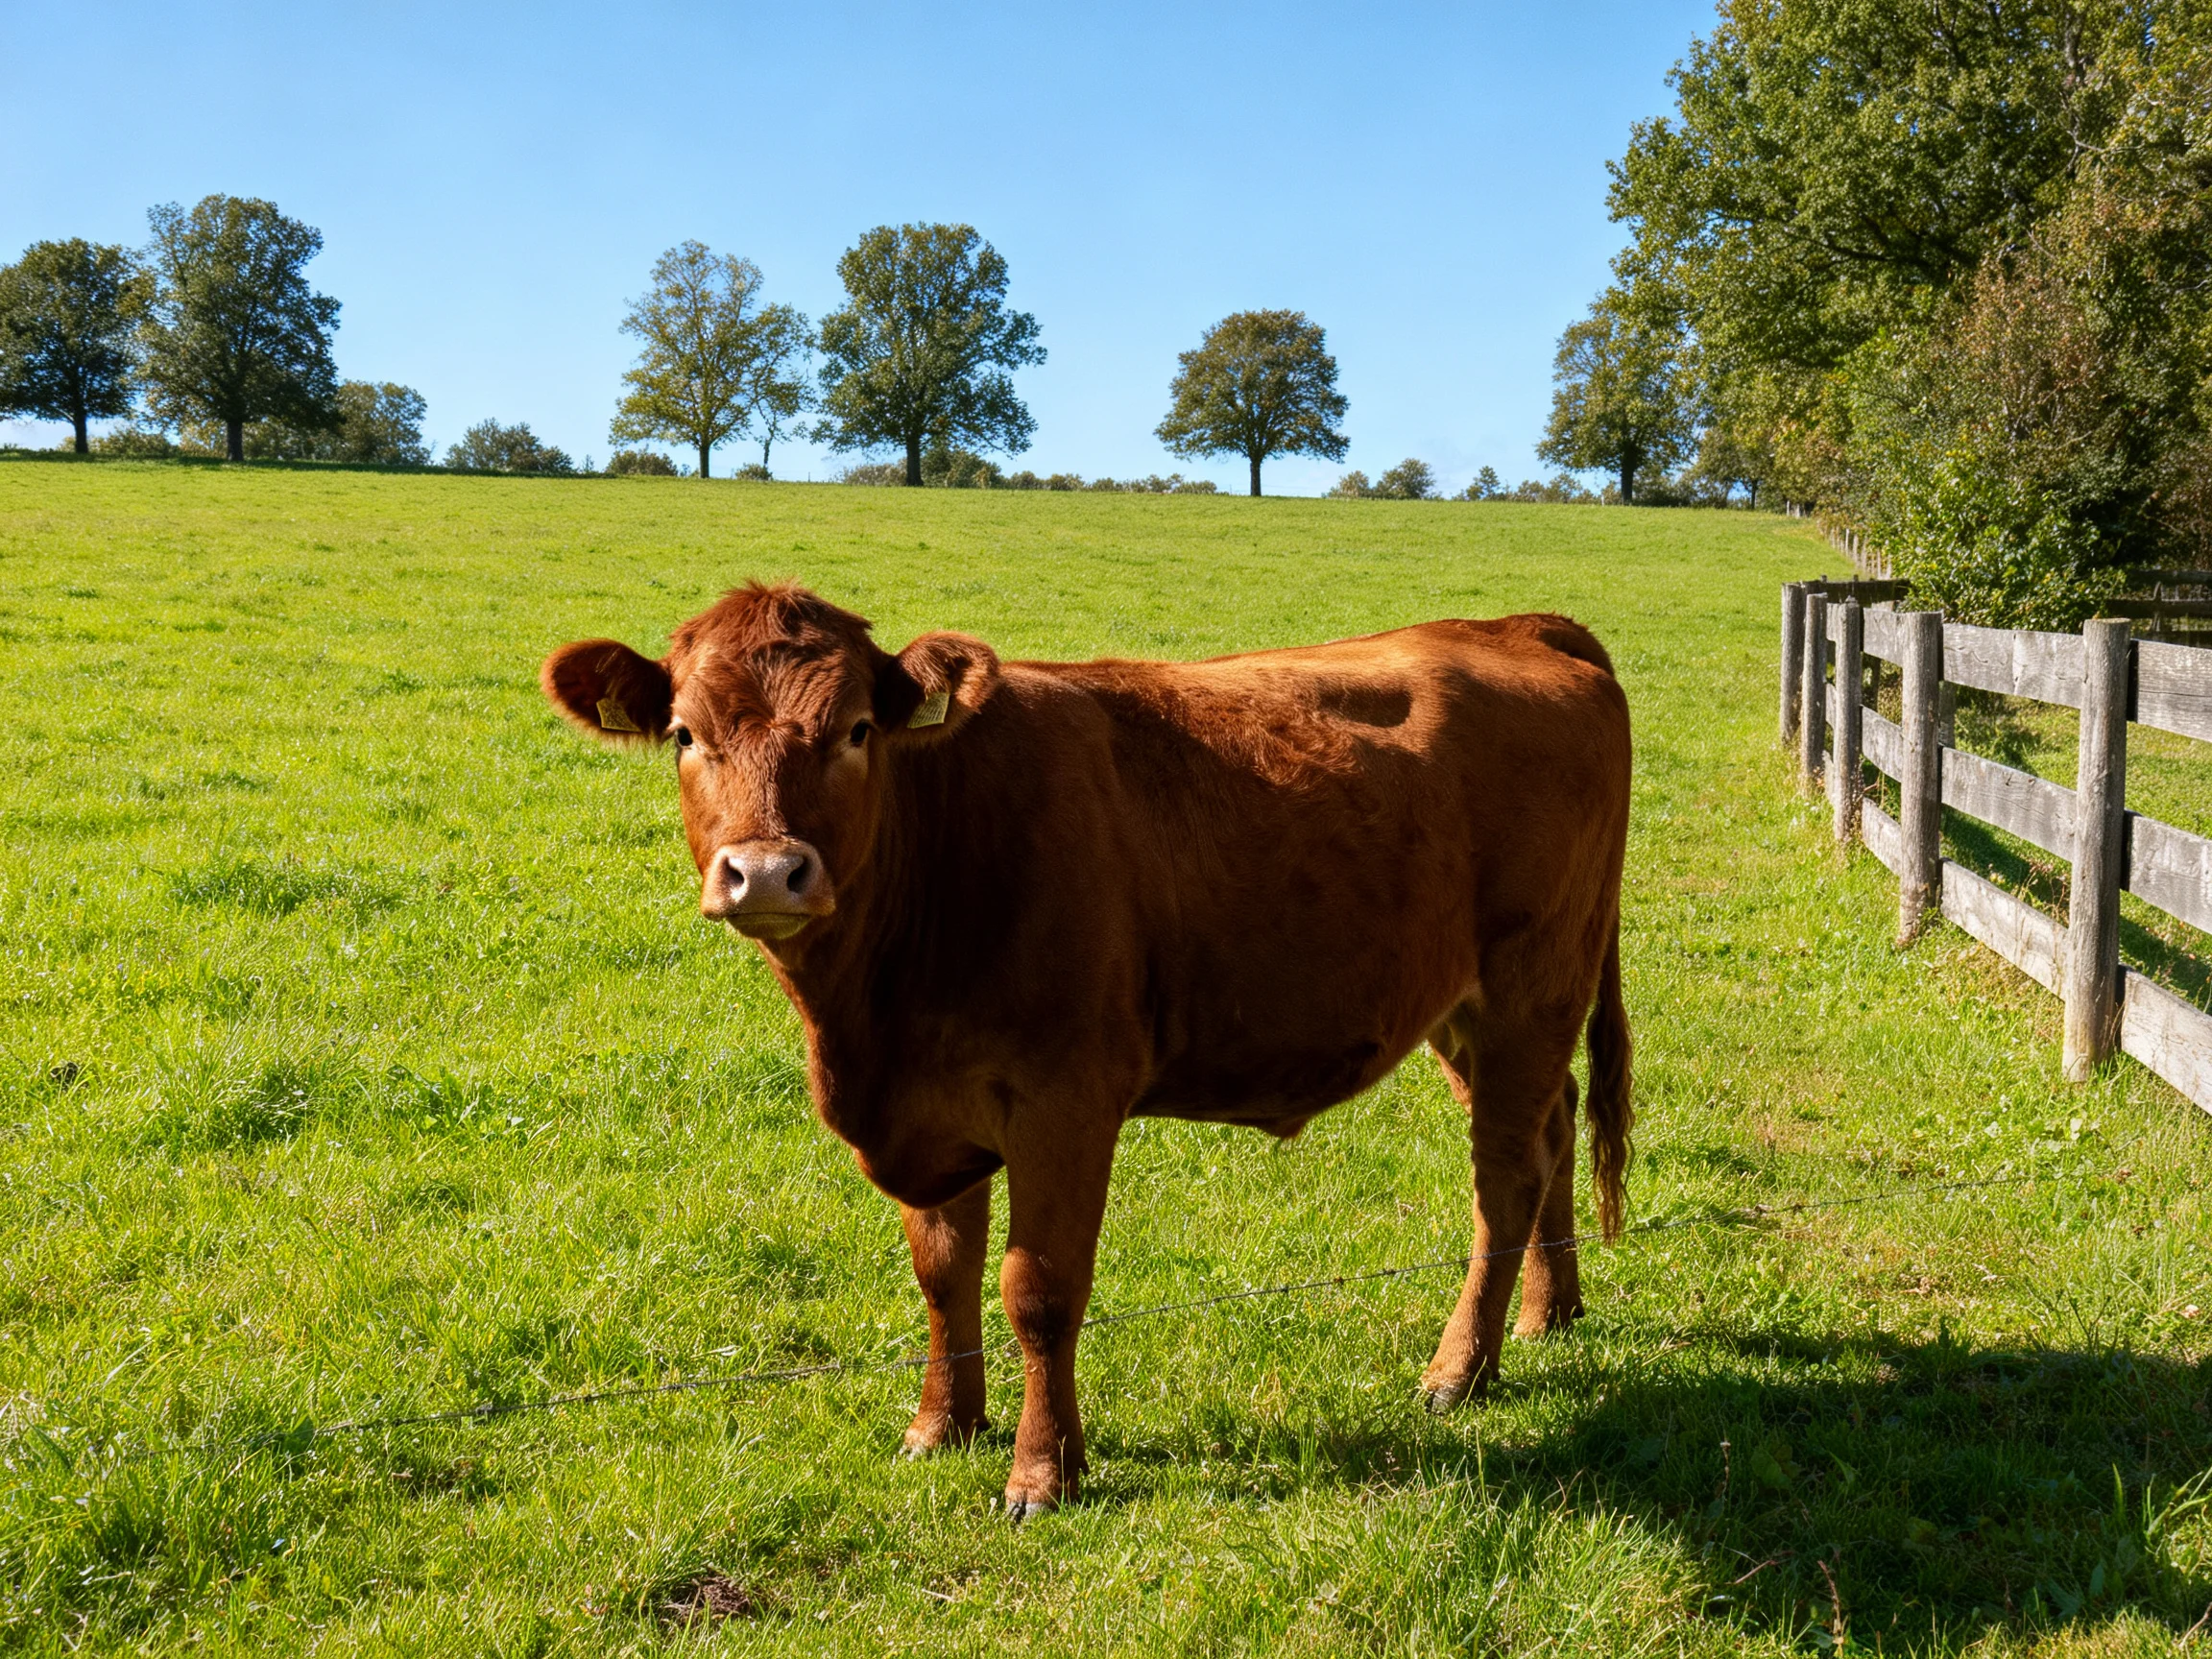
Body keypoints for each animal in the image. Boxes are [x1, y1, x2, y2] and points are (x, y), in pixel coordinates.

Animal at [542, 581, 1632, 1518]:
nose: (767, 872)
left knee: (1504, 1178)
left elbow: (1039, 1288)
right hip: (1468, 1009)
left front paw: (1042, 1473)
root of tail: (1510, 627)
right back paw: (1548, 1315)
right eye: (686, 735)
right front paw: (941, 1426)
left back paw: (1459, 1370)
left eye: (857, 730)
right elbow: (941, 1273)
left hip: (1531, 986)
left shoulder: (1063, 1099)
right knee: (1552, 1132)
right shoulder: (930, 1108)